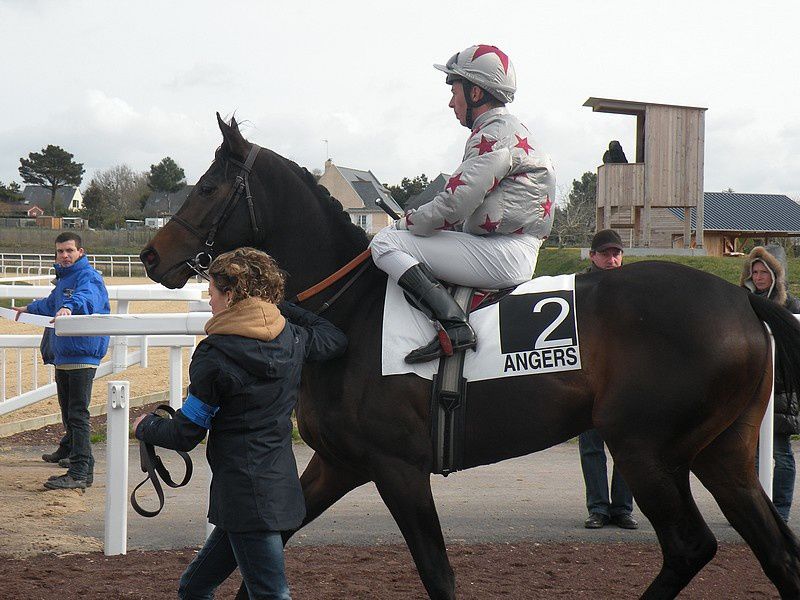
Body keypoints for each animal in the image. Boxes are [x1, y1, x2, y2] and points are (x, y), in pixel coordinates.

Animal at [141, 113, 800, 600]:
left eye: (208, 187)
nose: (150, 254)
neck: (349, 313)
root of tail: (742, 298)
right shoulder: (339, 462)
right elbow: (258, 548)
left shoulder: (397, 467)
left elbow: (438, 572)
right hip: (722, 451)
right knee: (776, 552)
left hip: (646, 448)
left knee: (692, 546)